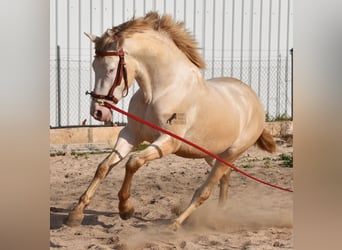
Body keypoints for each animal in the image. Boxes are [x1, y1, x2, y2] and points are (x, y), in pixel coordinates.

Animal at [64, 11, 276, 230]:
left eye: (111, 69)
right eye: (93, 66)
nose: (97, 111)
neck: (160, 90)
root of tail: (254, 99)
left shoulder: (168, 142)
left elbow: (133, 162)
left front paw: (126, 209)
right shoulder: (131, 134)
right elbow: (104, 167)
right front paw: (75, 215)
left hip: (230, 154)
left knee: (204, 191)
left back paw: (175, 224)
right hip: (212, 154)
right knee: (225, 178)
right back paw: (218, 215)